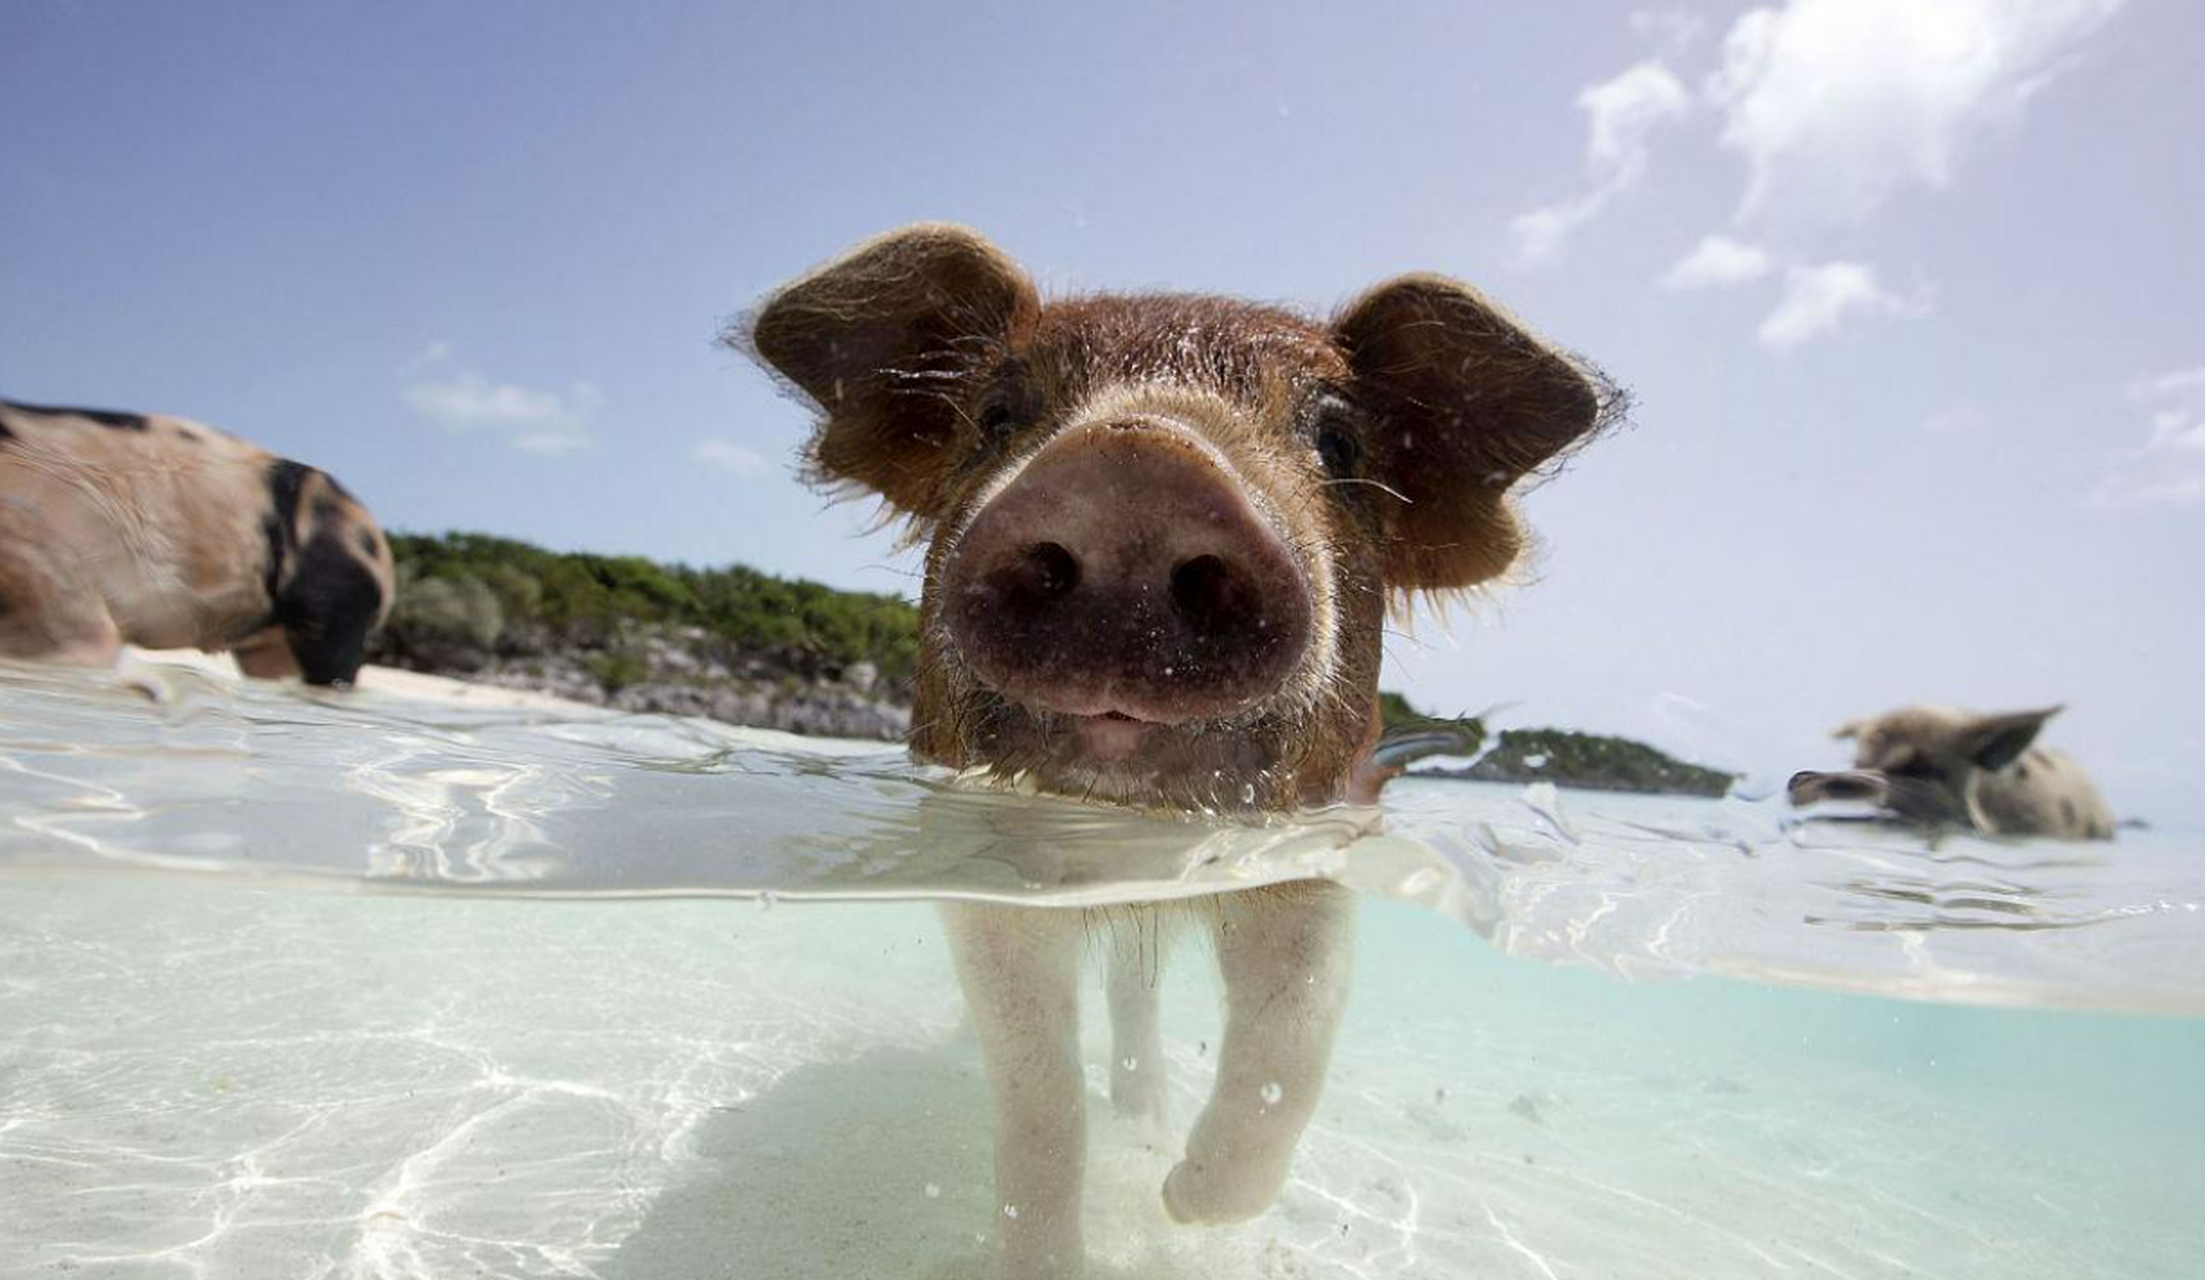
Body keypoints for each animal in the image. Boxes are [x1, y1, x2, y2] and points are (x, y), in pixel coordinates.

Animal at [740, 225, 1622, 1271]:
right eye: (996, 415)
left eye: (1336, 439)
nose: (1139, 458)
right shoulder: (980, 868)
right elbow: (1037, 1088)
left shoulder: (1318, 855)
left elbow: (1292, 1039)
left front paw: (1181, 1202)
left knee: (1138, 998)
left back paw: (1150, 1125)